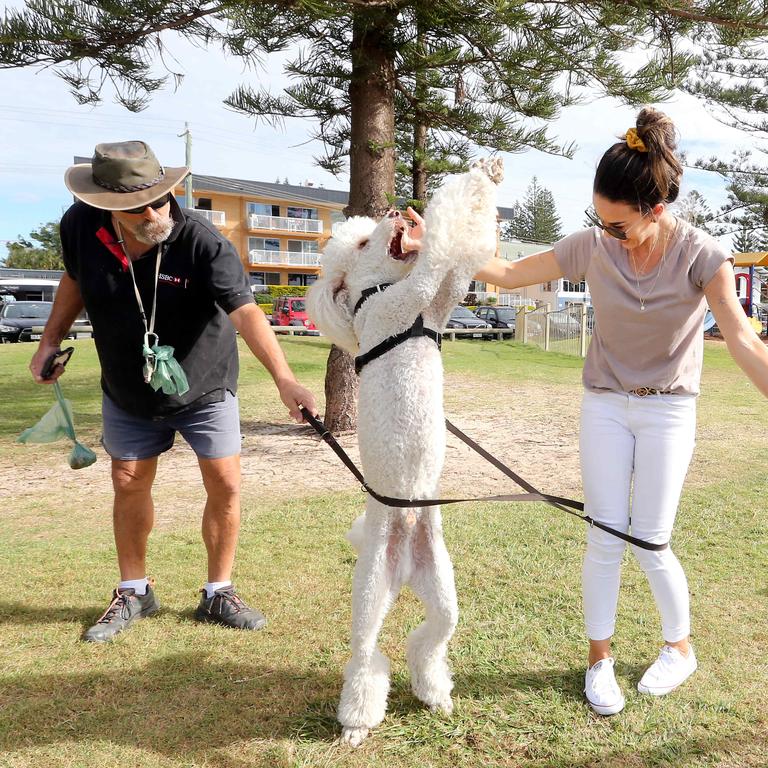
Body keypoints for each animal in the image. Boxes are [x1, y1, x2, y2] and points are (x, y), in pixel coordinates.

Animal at [306, 158, 504, 744]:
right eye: (364, 239)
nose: (397, 209)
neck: (375, 291)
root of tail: (403, 557)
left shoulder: (439, 304)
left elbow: (457, 272)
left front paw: (486, 179)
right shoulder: (408, 298)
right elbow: (437, 253)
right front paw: (463, 190)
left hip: (441, 587)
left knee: (431, 638)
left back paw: (434, 693)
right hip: (370, 595)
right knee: (366, 654)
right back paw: (356, 722)